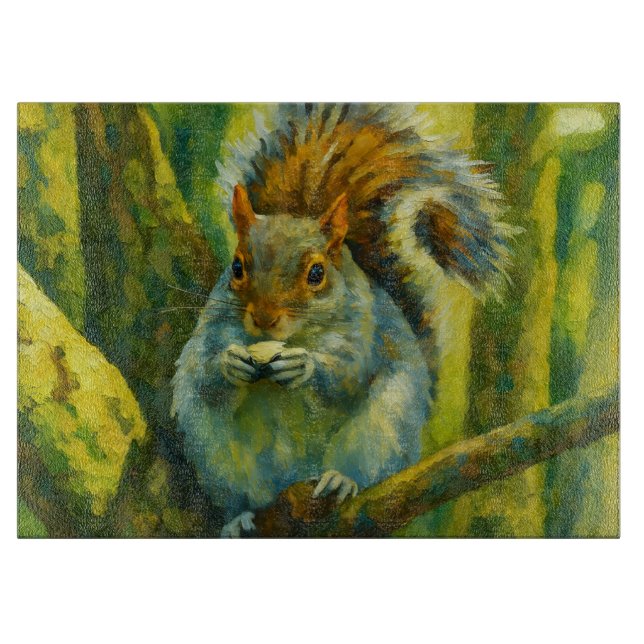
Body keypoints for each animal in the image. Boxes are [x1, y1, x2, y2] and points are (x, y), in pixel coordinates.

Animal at [171, 104, 517, 537]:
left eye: (317, 273)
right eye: (236, 267)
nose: (264, 320)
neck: (299, 335)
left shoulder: (364, 331)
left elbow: (348, 375)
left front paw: (306, 366)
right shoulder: (212, 328)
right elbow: (204, 371)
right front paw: (229, 363)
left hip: (382, 432)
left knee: (364, 467)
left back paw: (341, 480)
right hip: (219, 457)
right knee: (239, 490)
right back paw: (238, 518)